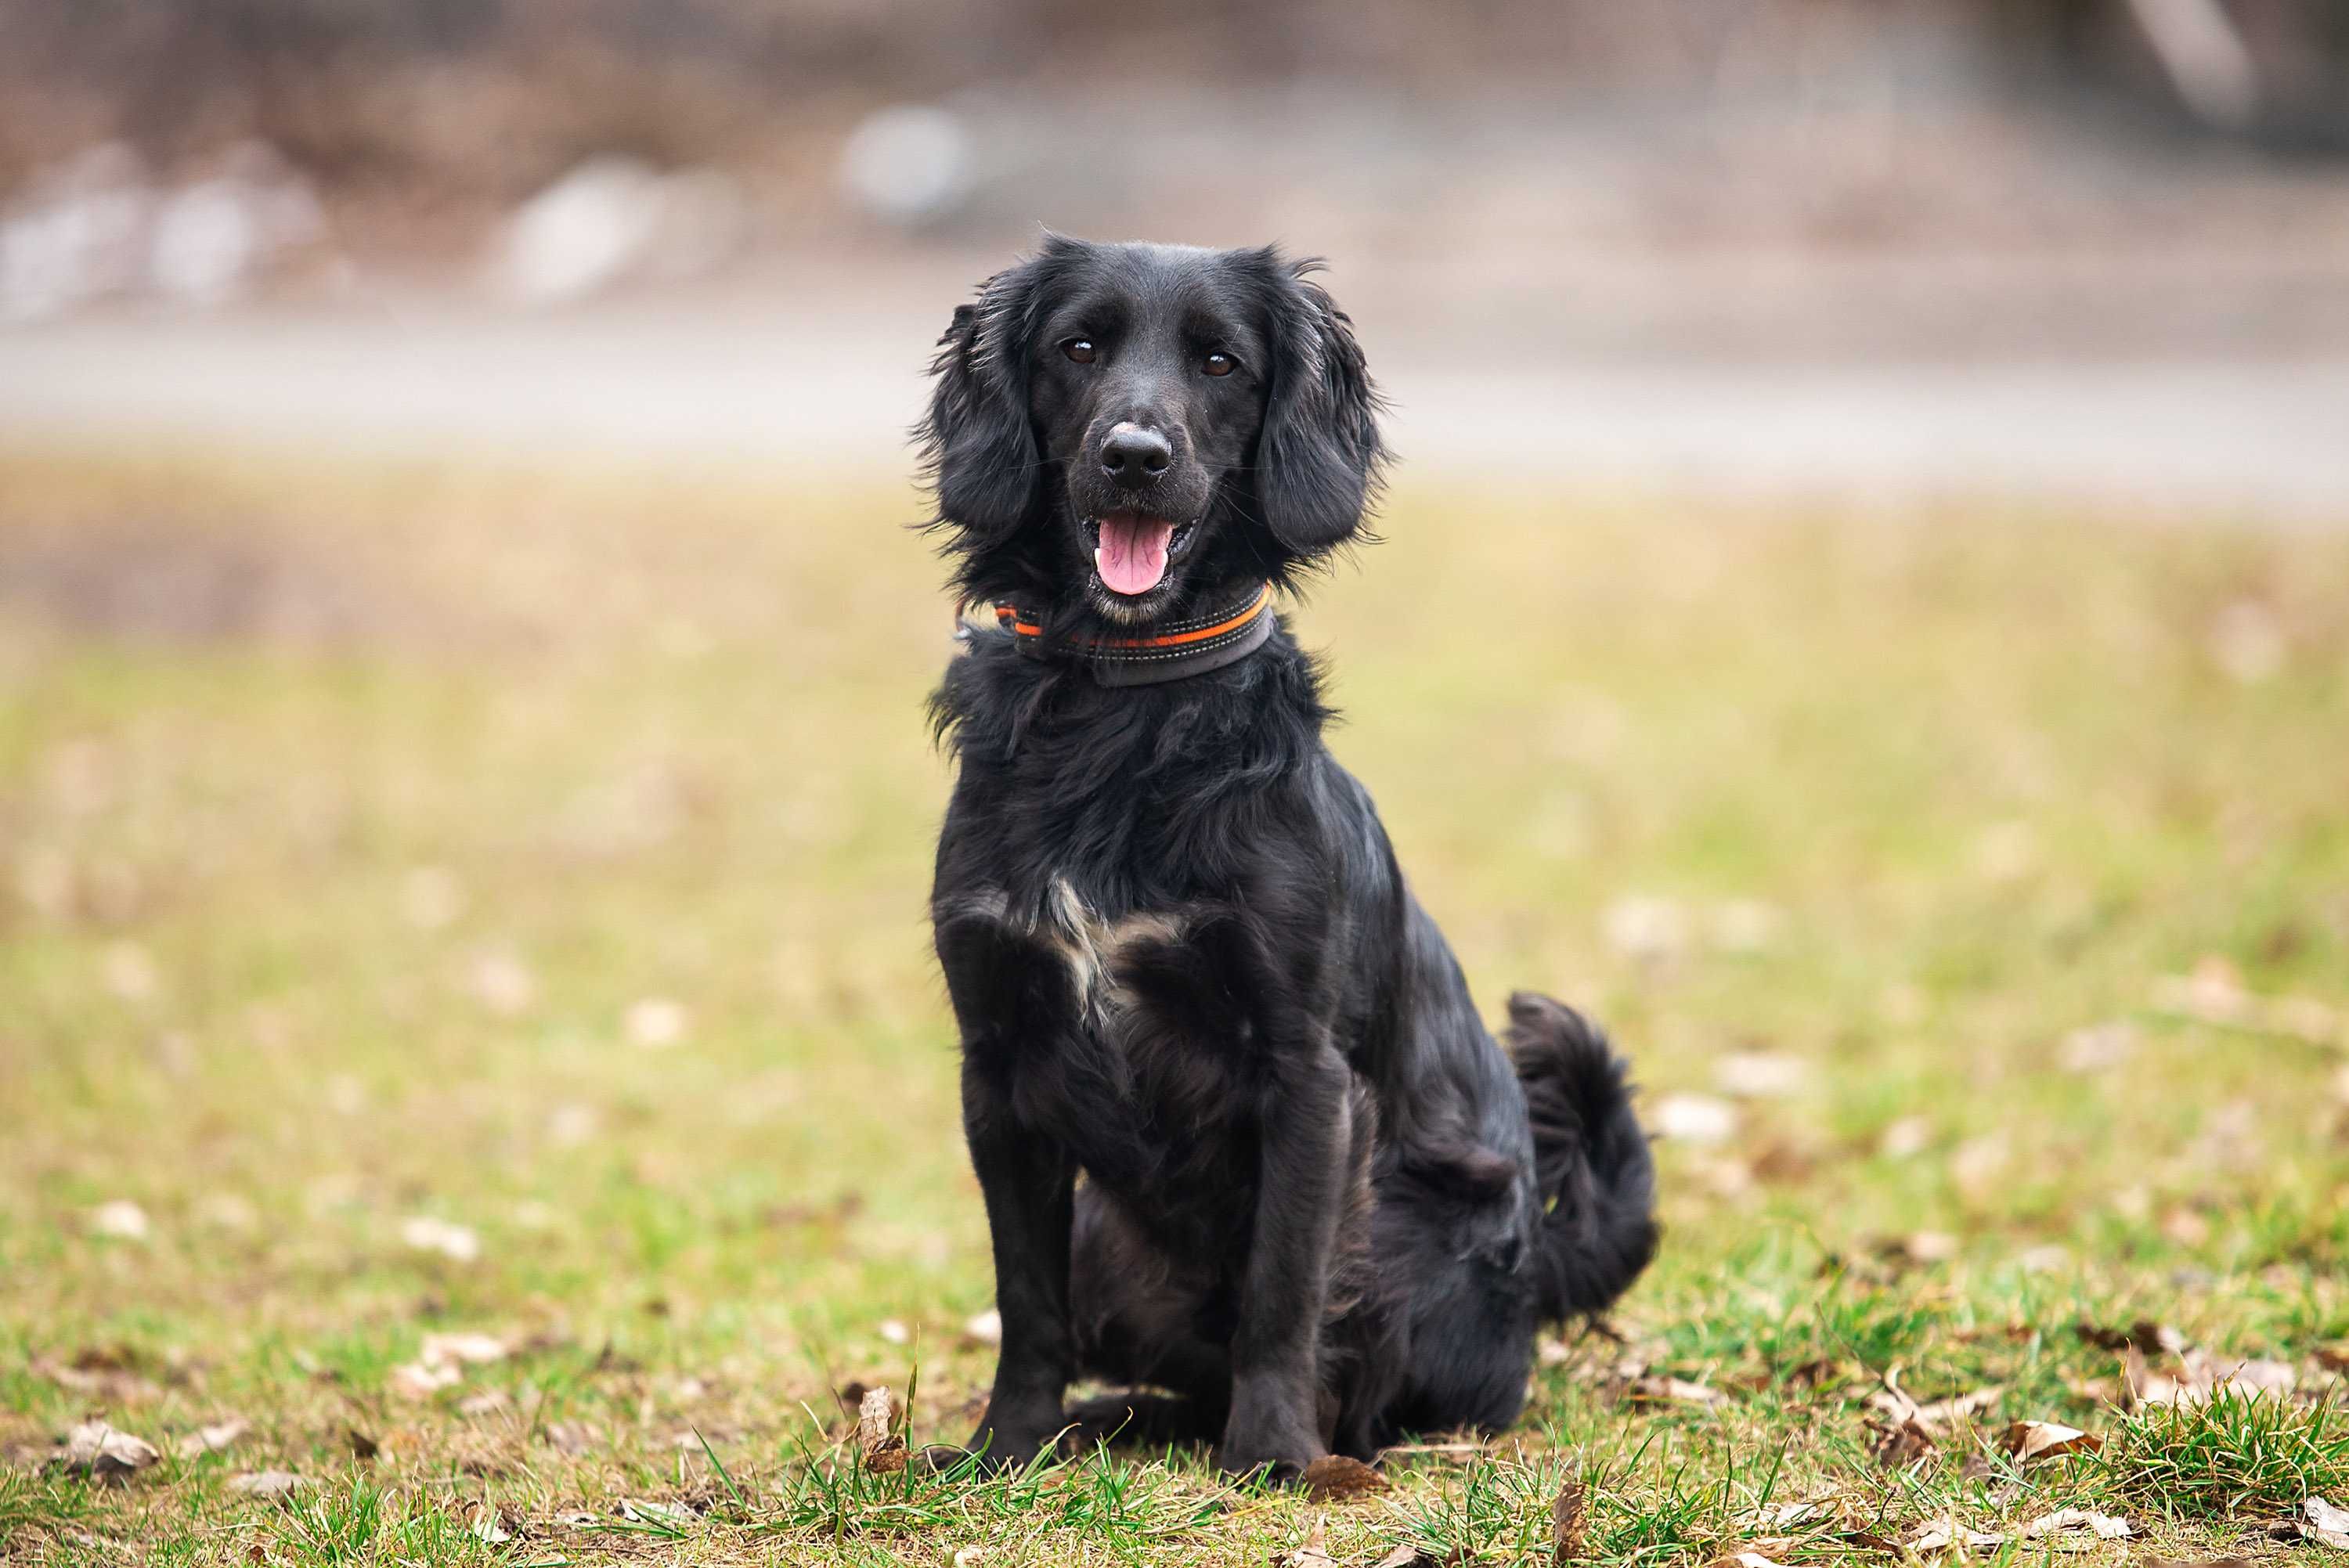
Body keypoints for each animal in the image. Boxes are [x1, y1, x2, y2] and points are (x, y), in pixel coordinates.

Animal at [916, 236, 1654, 1483]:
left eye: (1220, 362)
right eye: (1079, 347)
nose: (1134, 456)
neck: (1120, 704)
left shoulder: (1305, 1071)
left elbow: (1285, 1285)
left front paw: (1272, 1457)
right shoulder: (1000, 1063)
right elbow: (1026, 1297)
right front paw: (1007, 1446)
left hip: (1414, 1232)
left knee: (1382, 1380)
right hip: (1107, 1233)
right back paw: (1108, 1419)